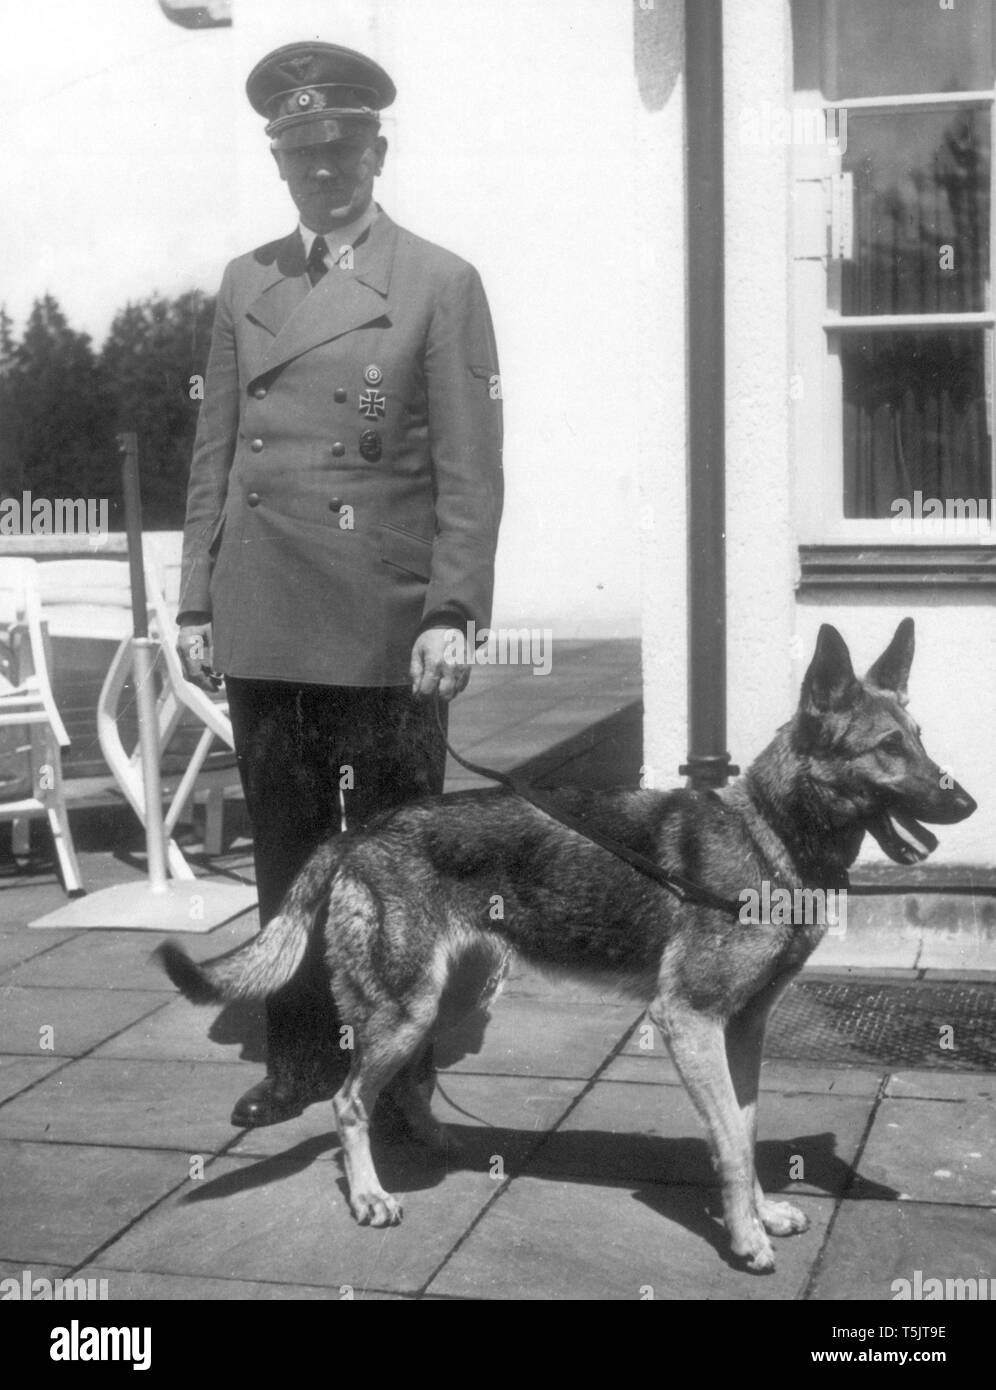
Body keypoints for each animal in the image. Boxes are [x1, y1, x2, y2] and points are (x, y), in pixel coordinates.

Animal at [161, 625, 972, 1273]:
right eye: (888, 748)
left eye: (922, 737)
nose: (964, 802)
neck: (768, 832)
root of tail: (359, 833)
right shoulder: (690, 1022)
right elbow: (732, 1144)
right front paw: (746, 1240)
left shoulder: (744, 1031)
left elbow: (745, 1127)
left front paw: (762, 1213)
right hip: (406, 1010)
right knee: (347, 1100)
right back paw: (369, 1196)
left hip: (448, 1002)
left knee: (399, 1084)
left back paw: (439, 1143)